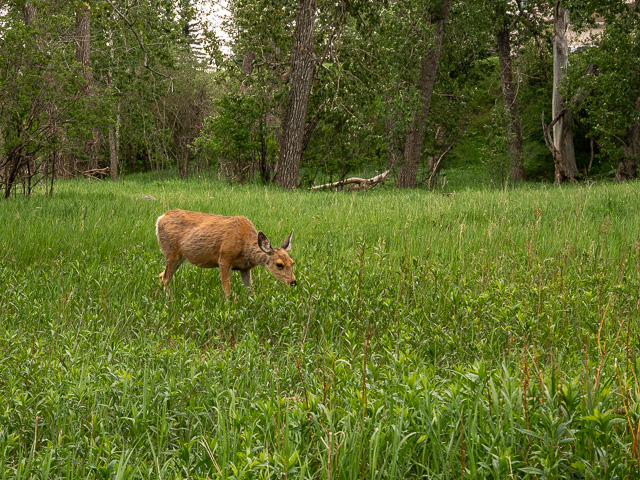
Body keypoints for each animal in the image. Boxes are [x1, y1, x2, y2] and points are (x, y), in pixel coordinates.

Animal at [155, 209, 296, 299]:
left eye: (292, 262)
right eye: (279, 264)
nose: (293, 282)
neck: (245, 248)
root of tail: (159, 219)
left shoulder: (245, 268)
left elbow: (250, 290)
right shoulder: (224, 259)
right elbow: (227, 291)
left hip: (178, 257)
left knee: (162, 276)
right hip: (171, 252)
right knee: (166, 278)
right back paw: (170, 300)